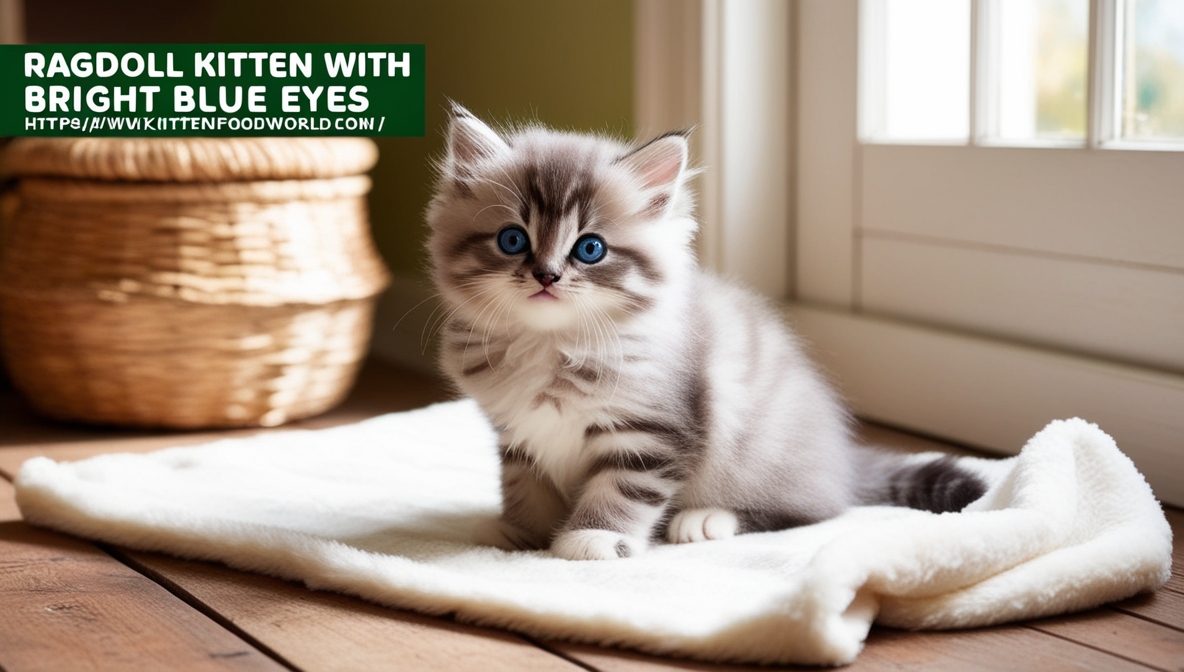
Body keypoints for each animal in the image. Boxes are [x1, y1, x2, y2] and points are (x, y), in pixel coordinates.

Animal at [423, 106, 980, 560]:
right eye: (512, 240)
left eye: (590, 249)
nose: (546, 276)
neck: (549, 344)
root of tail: (842, 455)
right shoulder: (517, 435)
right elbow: (523, 485)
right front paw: (521, 531)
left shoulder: (654, 430)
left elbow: (622, 490)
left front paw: (593, 538)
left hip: (760, 456)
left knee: (810, 511)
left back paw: (705, 520)